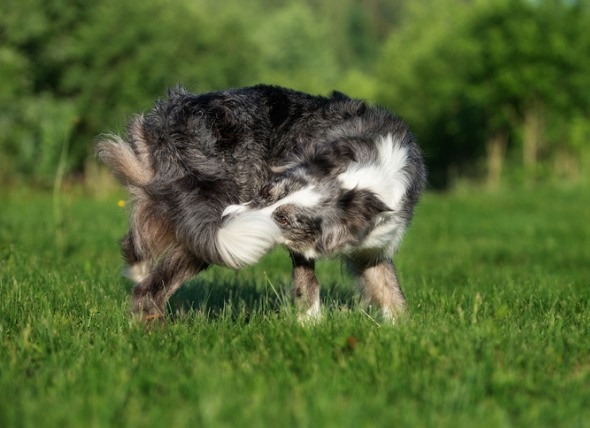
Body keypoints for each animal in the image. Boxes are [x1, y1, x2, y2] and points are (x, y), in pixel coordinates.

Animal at [99, 85, 428, 320]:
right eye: (267, 192)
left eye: (283, 218)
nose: (228, 216)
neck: (367, 179)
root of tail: (172, 114)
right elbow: (308, 285)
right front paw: (311, 327)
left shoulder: (373, 250)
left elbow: (392, 293)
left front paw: (403, 334)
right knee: (151, 290)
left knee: (138, 241)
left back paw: (137, 269)